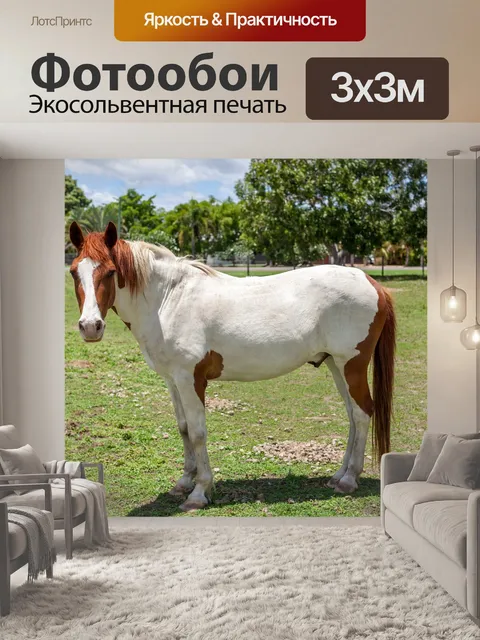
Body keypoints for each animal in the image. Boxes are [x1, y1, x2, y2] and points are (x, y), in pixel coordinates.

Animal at [69, 221, 396, 512]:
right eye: (74, 271)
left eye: (110, 271)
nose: (90, 326)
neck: (169, 300)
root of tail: (372, 283)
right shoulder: (172, 380)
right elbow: (183, 429)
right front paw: (184, 482)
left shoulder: (191, 379)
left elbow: (198, 432)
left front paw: (199, 492)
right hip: (335, 365)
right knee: (353, 415)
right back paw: (338, 476)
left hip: (351, 365)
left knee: (362, 413)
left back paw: (349, 480)